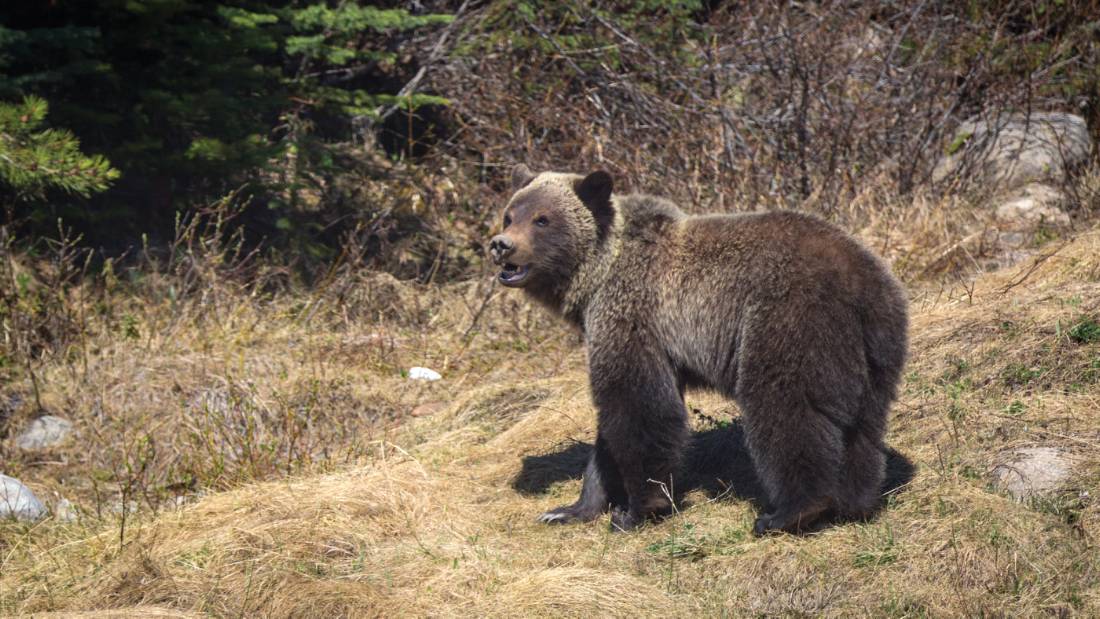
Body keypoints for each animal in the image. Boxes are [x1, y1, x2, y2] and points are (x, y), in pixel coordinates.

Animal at [490, 164, 910, 532]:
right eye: (510, 215)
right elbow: (610, 433)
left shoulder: (633, 316)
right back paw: (855, 501)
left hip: (788, 322)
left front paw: (637, 510)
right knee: (863, 426)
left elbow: (637, 408)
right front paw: (569, 509)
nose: (500, 245)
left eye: (542, 219)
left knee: (787, 410)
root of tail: (863, 281)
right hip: (875, 348)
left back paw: (788, 513)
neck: (596, 278)